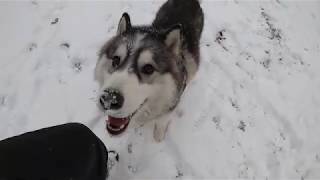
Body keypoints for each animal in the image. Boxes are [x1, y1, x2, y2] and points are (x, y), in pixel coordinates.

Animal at [94, 0, 202, 141]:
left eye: (148, 68)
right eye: (116, 60)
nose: (109, 99)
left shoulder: (171, 105)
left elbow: (162, 121)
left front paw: (159, 135)